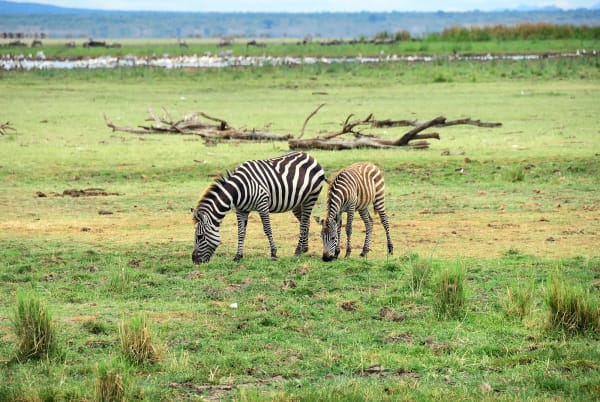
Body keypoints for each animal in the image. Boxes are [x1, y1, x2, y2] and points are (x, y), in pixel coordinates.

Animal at [191, 152, 324, 264]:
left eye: (199, 236)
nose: (194, 260)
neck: (239, 190)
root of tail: (310, 156)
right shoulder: (241, 210)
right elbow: (241, 232)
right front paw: (238, 256)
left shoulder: (262, 204)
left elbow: (267, 229)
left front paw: (273, 253)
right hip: (297, 203)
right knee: (305, 222)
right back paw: (304, 248)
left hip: (310, 198)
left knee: (304, 223)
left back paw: (297, 251)